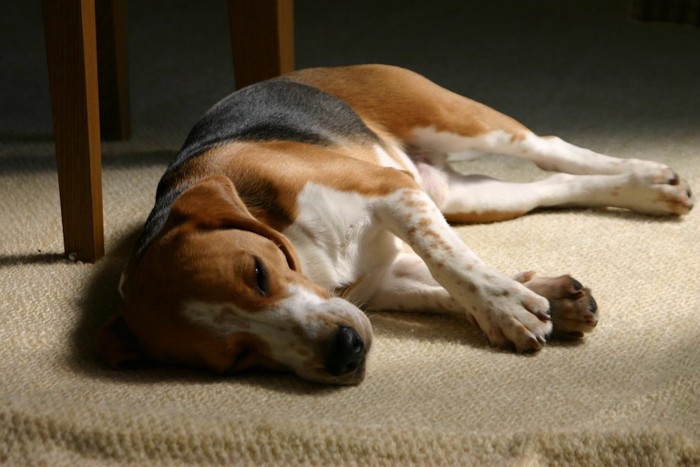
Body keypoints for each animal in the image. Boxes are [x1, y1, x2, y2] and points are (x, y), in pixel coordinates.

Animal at [95, 64, 692, 386]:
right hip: (468, 198)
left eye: (259, 275)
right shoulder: (382, 281)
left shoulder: (391, 191)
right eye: (237, 358)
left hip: (460, 124)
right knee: (550, 186)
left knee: (553, 149)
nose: (342, 352)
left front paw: (505, 308)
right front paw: (545, 302)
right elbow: (449, 288)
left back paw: (654, 178)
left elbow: (453, 266)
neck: (307, 259)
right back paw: (644, 191)